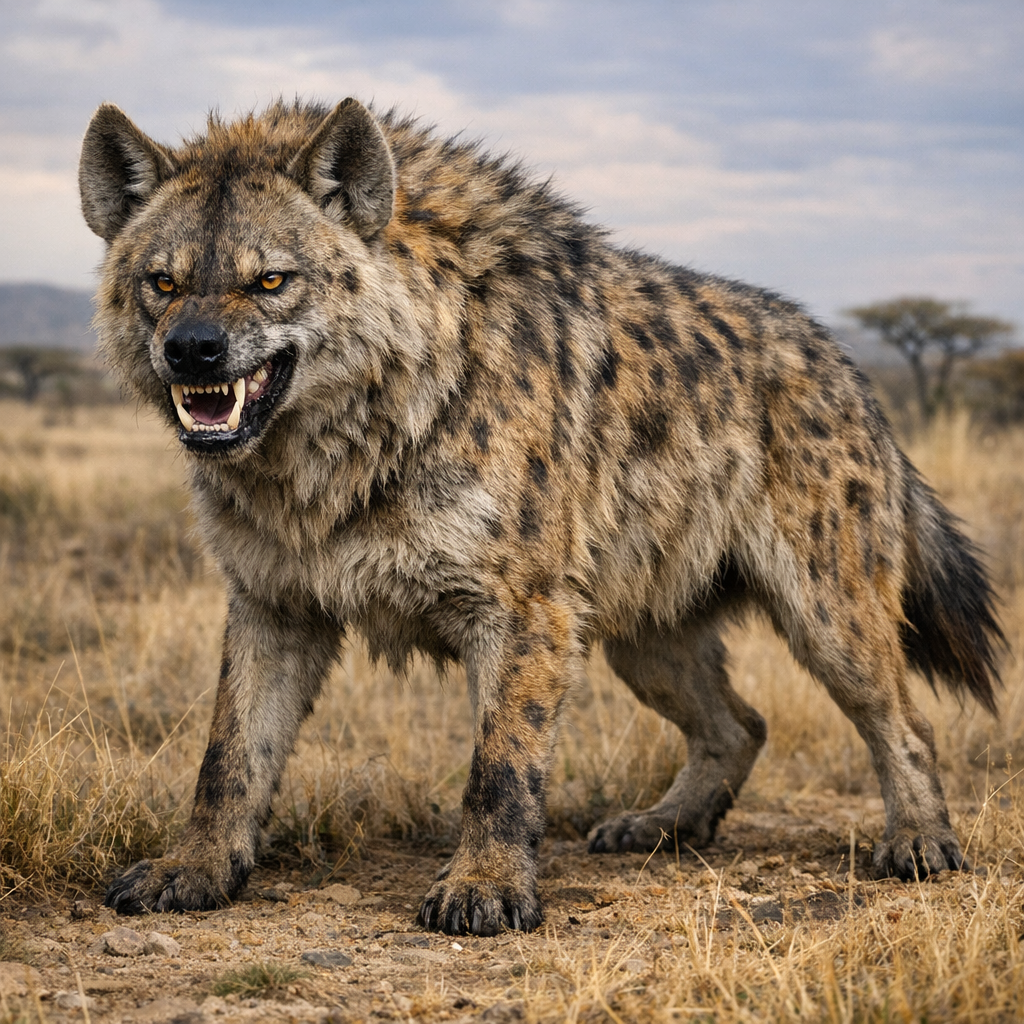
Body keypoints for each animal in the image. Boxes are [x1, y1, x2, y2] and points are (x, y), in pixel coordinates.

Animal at [79, 97, 1001, 936]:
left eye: (270, 280)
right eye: (162, 283)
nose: (192, 350)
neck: (339, 453)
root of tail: (847, 366)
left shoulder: (523, 608)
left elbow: (502, 766)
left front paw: (484, 890)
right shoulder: (273, 604)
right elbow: (229, 756)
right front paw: (193, 870)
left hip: (826, 615)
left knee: (903, 720)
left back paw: (920, 844)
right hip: (644, 637)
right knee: (739, 723)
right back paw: (661, 827)